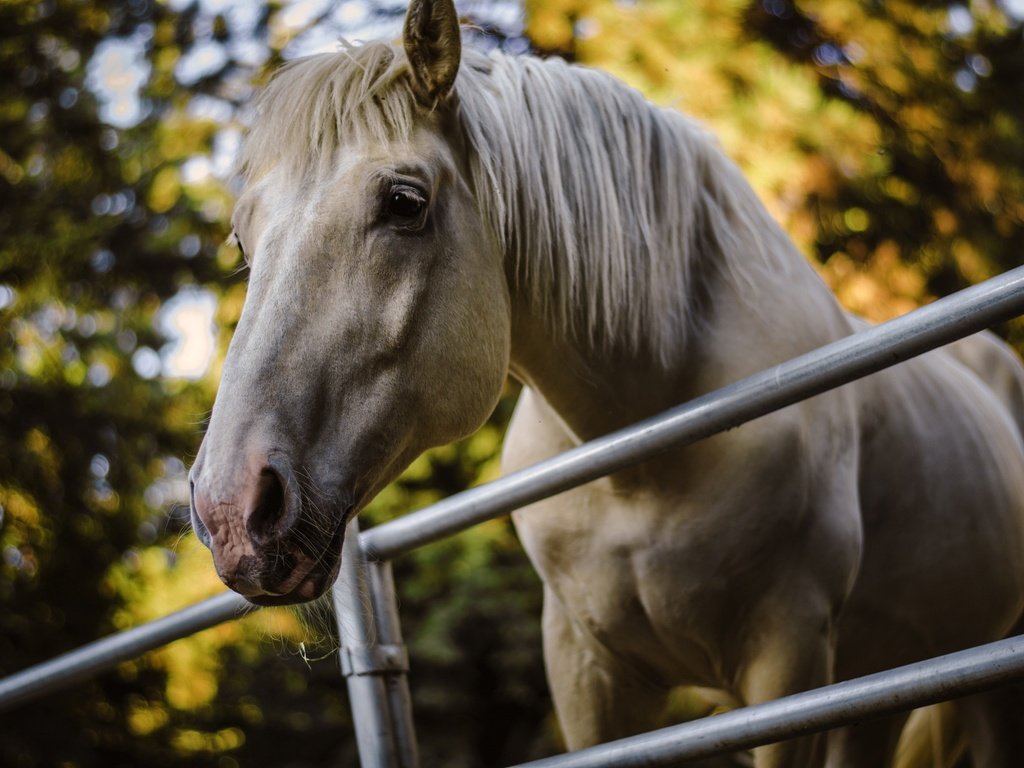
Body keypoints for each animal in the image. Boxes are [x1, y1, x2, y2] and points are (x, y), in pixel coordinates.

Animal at [184, 3, 1024, 765]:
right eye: (242, 239)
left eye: (404, 202)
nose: (232, 511)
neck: (644, 452)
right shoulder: (585, 670)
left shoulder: (789, 662)